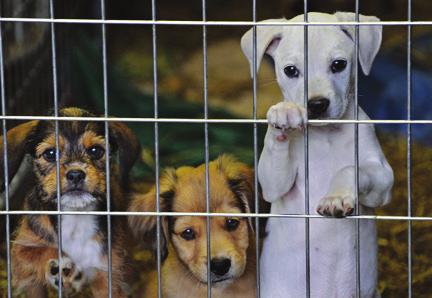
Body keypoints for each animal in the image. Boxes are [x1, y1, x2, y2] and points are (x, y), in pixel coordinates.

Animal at [1, 108, 138, 296]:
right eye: (50, 154)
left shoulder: (108, 274)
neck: (75, 218)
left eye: (96, 151)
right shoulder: (21, 255)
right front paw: (62, 265)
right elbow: (41, 251)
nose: (75, 174)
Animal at [241, 12, 394, 298]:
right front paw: (283, 116)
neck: (326, 136)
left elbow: (351, 168)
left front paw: (336, 197)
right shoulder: (272, 186)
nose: (317, 104)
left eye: (339, 65)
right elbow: (273, 172)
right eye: (291, 70)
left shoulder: (382, 180)